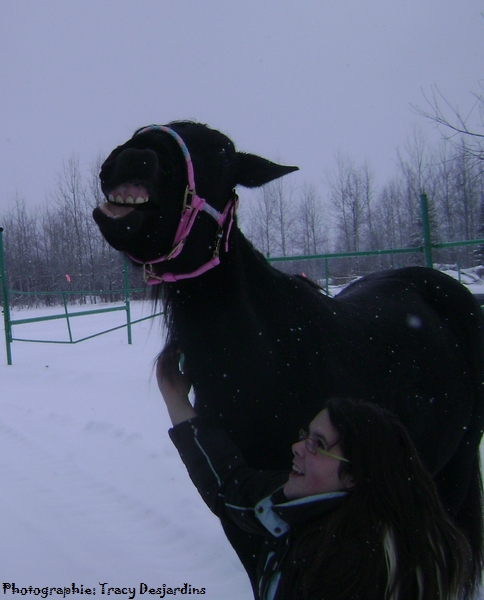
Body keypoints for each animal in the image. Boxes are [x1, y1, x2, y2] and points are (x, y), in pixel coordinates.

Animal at [92, 120, 482, 592]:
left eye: (223, 156)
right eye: (137, 133)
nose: (136, 157)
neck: (264, 357)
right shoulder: (248, 515)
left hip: (457, 467)